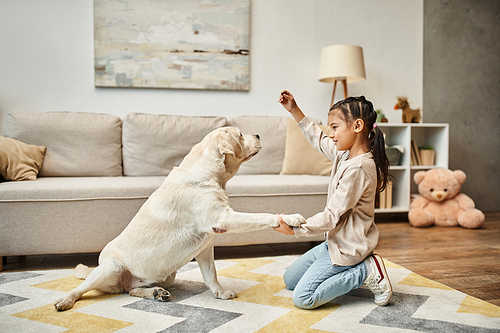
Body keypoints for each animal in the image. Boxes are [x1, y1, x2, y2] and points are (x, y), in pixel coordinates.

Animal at [53, 126, 304, 310]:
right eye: (241, 135)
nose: (259, 135)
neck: (209, 175)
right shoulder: (223, 218)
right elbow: (262, 216)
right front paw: (289, 218)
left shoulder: (206, 247)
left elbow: (211, 275)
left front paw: (220, 293)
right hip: (112, 267)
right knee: (82, 289)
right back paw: (66, 300)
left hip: (168, 275)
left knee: (131, 290)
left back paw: (156, 293)